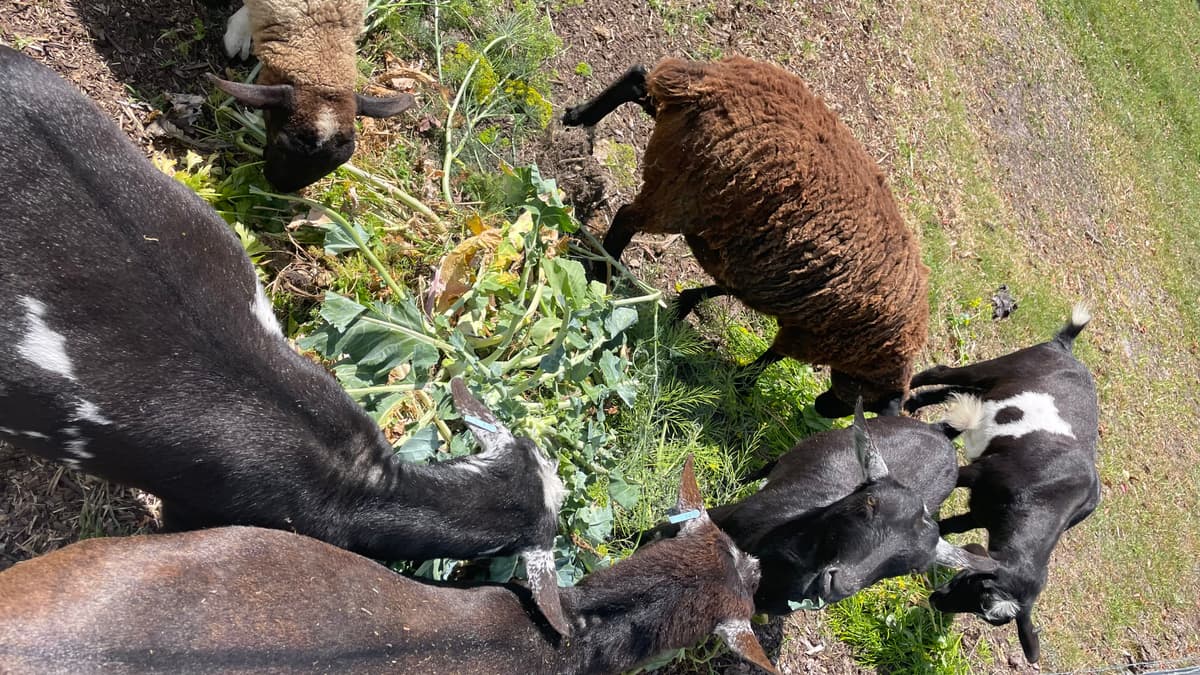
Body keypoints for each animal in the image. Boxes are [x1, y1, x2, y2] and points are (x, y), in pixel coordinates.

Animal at [562, 57, 929, 417]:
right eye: (867, 402)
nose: (822, 408)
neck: (873, 353)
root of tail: (708, 85)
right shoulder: (805, 335)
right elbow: (773, 355)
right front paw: (743, 383)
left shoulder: (761, 271)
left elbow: (724, 287)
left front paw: (685, 304)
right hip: (679, 194)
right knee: (626, 218)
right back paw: (604, 275)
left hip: (674, 147)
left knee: (640, 78)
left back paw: (578, 116)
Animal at [907, 306, 1101, 664]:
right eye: (971, 583)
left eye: (983, 614)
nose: (936, 602)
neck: (1046, 497)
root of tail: (1064, 348)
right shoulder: (980, 472)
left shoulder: (982, 513)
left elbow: (952, 526)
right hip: (1002, 366)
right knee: (946, 373)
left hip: (992, 392)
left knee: (956, 393)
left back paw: (912, 403)